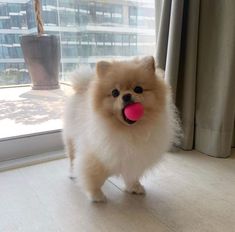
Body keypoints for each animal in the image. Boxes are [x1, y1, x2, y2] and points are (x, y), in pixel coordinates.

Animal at [63, 55, 179, 201]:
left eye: (138, 89)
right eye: (115, 93)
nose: (127, 95)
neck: (129, 131)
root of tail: (82, 86)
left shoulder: (135, 157)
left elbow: (132, 174)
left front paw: (134, 187)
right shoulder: (96, 155)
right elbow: (94, 176)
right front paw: (96, 195)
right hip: (71, 138)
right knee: (72, 157)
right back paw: (73, 173)